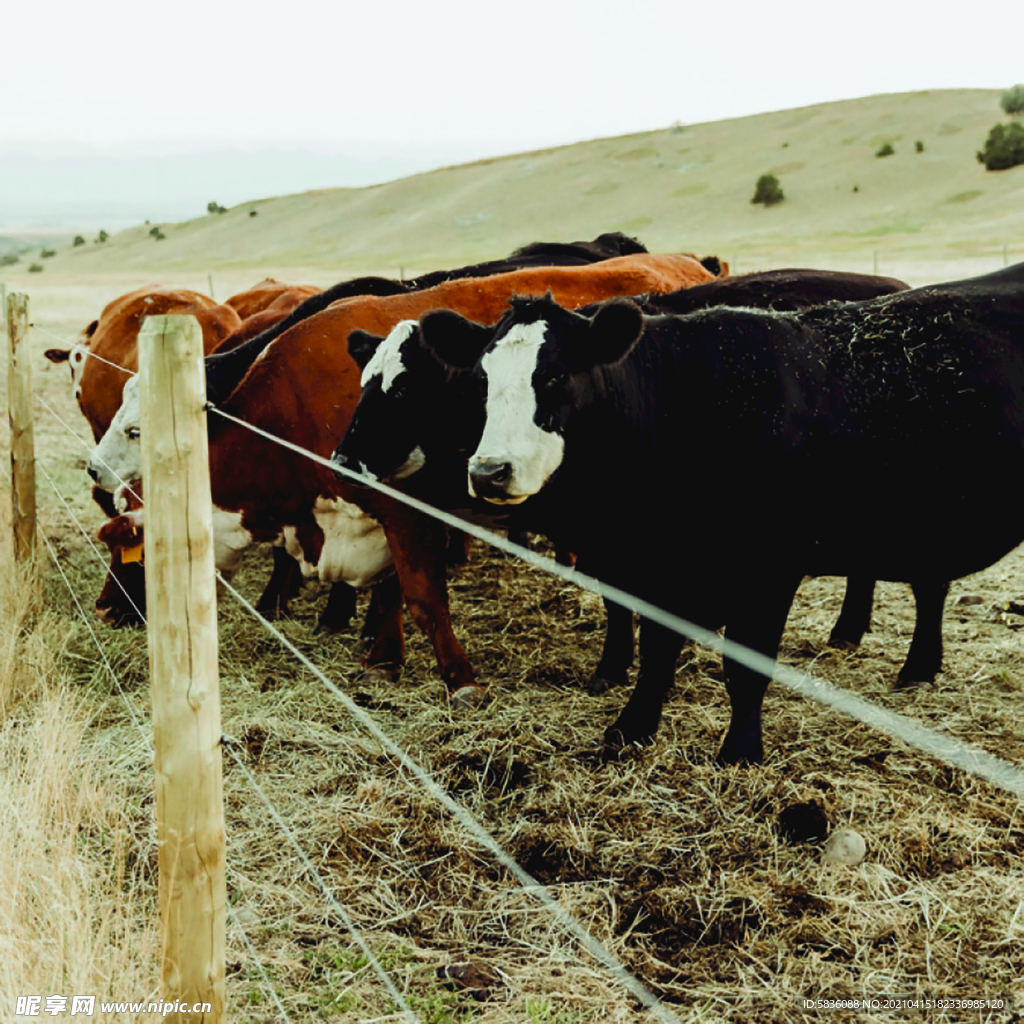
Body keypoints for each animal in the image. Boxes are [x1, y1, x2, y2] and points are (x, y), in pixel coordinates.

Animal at [92, 252, 724, 692]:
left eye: (132, 552)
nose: (107, 610)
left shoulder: (403, 507)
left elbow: (421, 594)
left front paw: (460, 679)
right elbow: (390, 588)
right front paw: (382, 656)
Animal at [405, 264, 1024, 761]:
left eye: (555, 374)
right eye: (481, 380)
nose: (489, 471)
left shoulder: (769, 568)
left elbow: (745, 667)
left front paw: (740, 752)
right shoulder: (649, 566)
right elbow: (655, 650)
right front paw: (630, 729)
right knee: (929, 582)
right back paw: (911, 664)